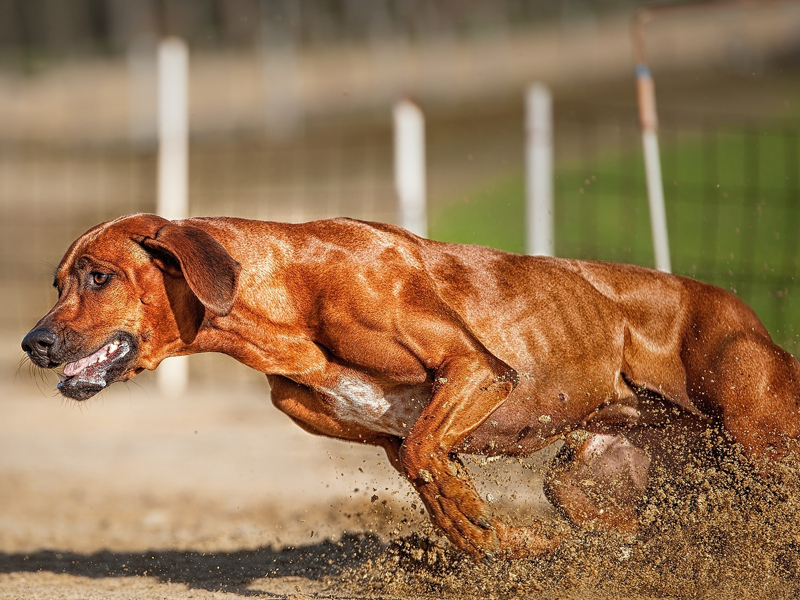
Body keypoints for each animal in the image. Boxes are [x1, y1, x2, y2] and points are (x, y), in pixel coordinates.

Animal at [20, 214, 800, 556]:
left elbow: (437, 459)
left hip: (763, 443)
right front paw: (509, 546)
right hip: (586, 480)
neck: (285, 293)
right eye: (58, 282)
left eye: (99, 276)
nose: (34, 344)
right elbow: (438, 489)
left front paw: (488, 523)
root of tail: (750, 317)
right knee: (624, 525)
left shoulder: (478, 371)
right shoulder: (393, 444)